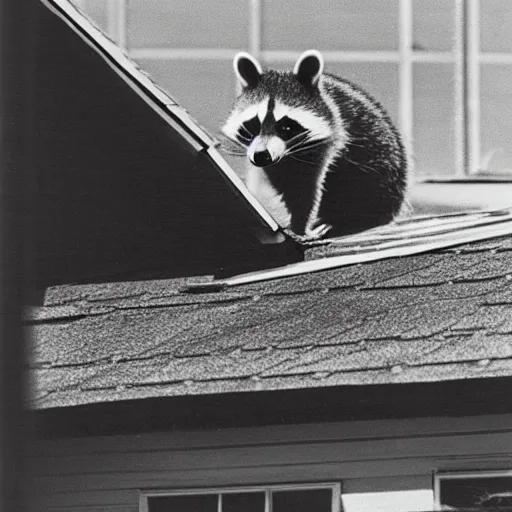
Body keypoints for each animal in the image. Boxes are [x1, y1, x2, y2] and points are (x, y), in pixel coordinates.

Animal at [222, 49, 410, 240]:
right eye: (253, 124)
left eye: (286, 127)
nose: (261, 156)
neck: (289, 156)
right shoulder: (274, 165)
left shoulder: (330, 140)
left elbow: (306, 189)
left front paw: (300, 225)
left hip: (384, 169)